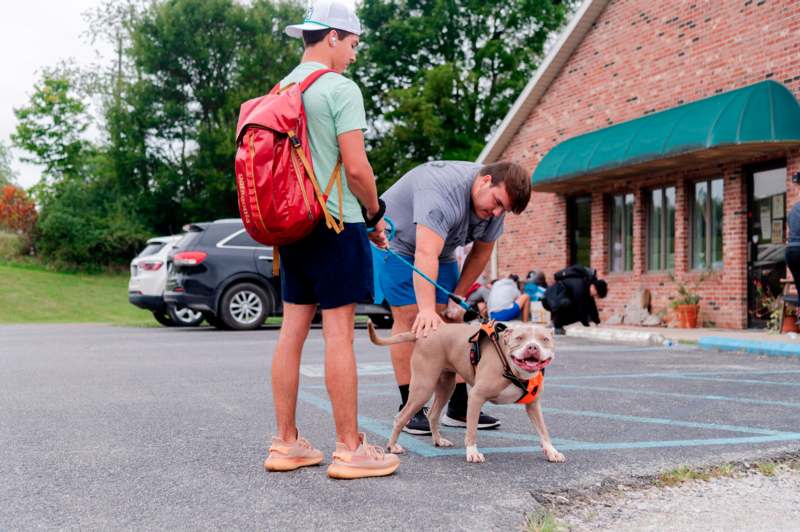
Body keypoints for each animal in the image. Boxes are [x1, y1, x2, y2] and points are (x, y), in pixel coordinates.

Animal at [368, 322, 564, 464]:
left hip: (446, 386)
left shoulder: (533, 405)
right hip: (423, 388)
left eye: (544, 339)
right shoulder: (476, 397)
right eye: (519, 338)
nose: (532, 347)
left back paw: (438, 440)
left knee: (432, 414)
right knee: (401, 417)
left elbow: (543, 430)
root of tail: (424, 334)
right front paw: (472, 453)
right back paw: (393, 446)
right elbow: (471, 429)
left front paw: (552, 452)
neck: (513, 369)